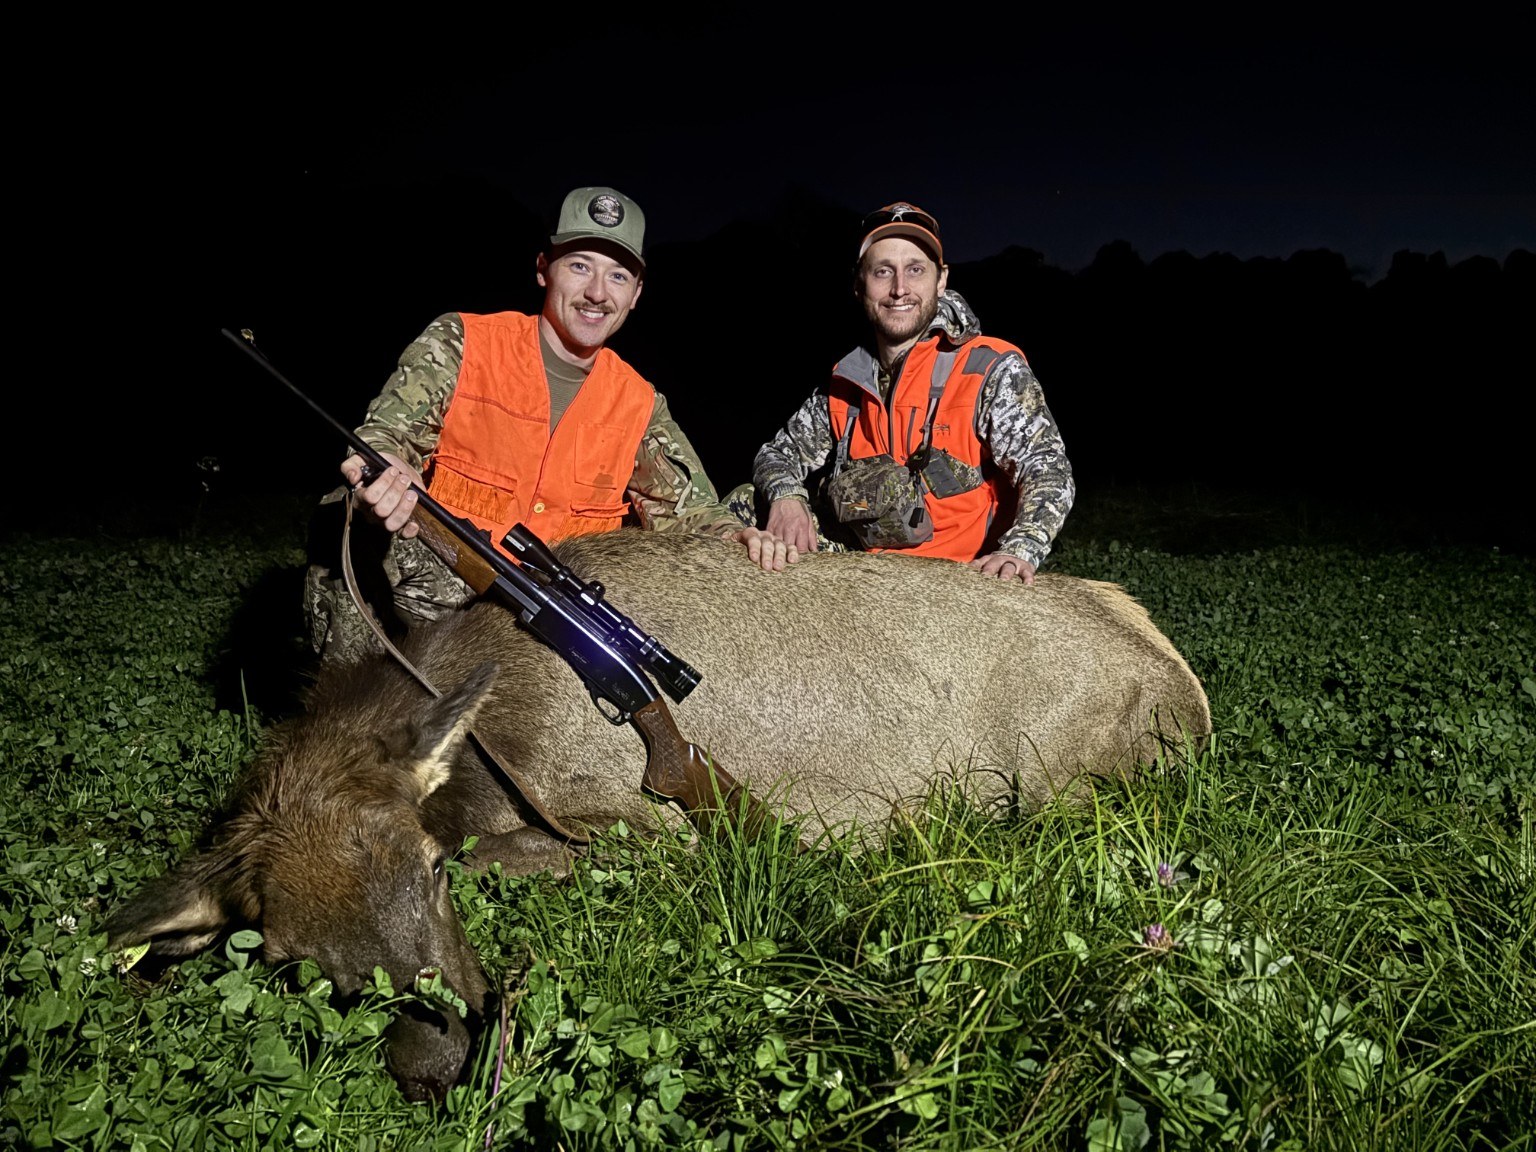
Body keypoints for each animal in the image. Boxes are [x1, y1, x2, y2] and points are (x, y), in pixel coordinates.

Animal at [102, 528, 1211, 1102]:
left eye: (424, 866)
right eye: (284, 954)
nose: (437, 1059)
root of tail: (1185, 691)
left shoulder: (651, 825)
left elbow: (511, 857)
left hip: (1064, 788)